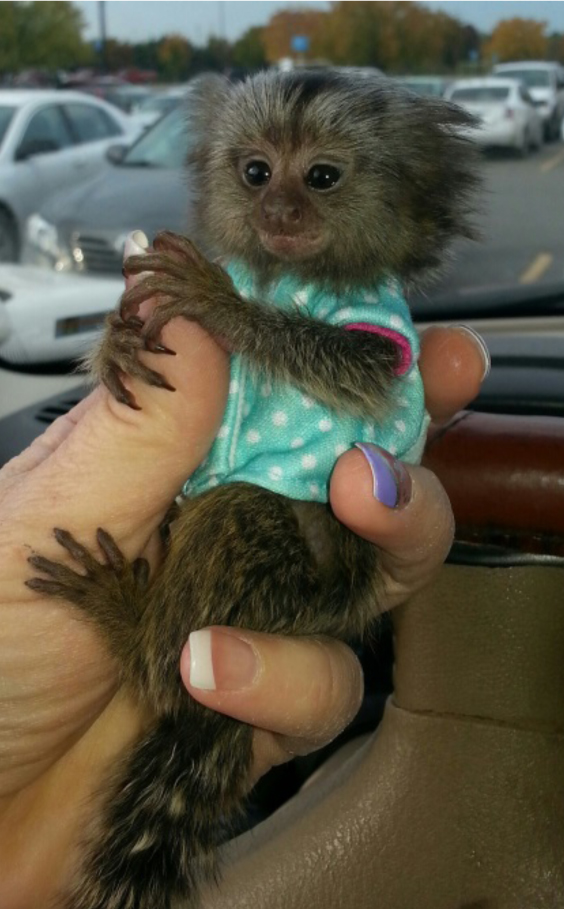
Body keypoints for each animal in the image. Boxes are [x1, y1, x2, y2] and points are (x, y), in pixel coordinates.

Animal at [26, 69, 479, 909]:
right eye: (257, 172)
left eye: (322, 177)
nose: (279, 213)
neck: (286, 273)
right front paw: (117, 340)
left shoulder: (377, 327)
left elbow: (346, 363)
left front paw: (222, 306)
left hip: (300, 571)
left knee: (229, 533)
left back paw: (128, 619)